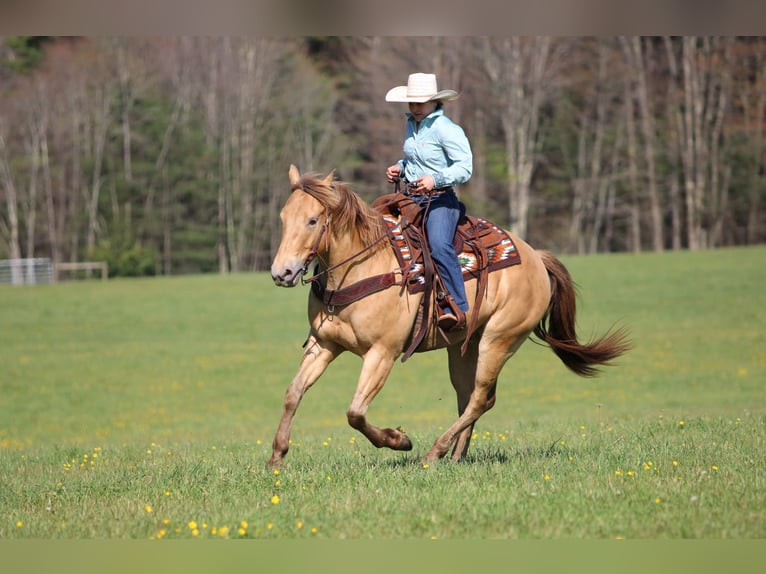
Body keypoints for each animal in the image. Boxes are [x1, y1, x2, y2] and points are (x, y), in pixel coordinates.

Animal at [268, 164, 630, 468]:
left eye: (313, 220)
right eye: (283, 218)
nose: (281, 273)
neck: (363, 265)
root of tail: (535, 257)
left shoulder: (382, 353)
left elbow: (355, 412)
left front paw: (400, 440)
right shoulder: (323, 345)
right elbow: (292, 393)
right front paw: (277, 457)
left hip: (499, 340)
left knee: (480, 398)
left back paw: (434, 452)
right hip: (462, 348)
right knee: (469, 398)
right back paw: (456, 456)